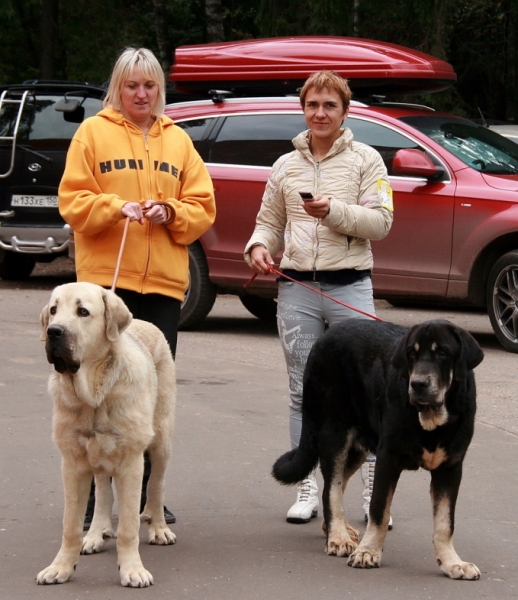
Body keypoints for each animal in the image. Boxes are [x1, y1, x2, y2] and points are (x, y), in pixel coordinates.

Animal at [37, 282, 177, 584]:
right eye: (53, 310)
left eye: (82, 312)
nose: (54, 331)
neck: (93, 394)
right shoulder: (72, 463)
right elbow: (70, 525)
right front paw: (61, 567)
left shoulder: (132, 462)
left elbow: (128, 526)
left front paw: (132, 570)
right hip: (98, 454)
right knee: (102, 490)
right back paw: (95, 533)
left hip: (161, 440)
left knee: (156, 484)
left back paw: (159, 528)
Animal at [274, 316, 486, 580]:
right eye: (411, 353)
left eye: (443, 353)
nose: (418, 384)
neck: (430, 420)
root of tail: (325, 336)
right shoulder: (387, 459)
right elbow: (379, 510)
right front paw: (368, 552)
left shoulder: (450, 468)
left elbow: (445, 523)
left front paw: (452, 562)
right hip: (335, 434)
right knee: (331, 490)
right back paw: (338, 537)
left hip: (357, 449)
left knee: (337, 486)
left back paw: (336, 530)